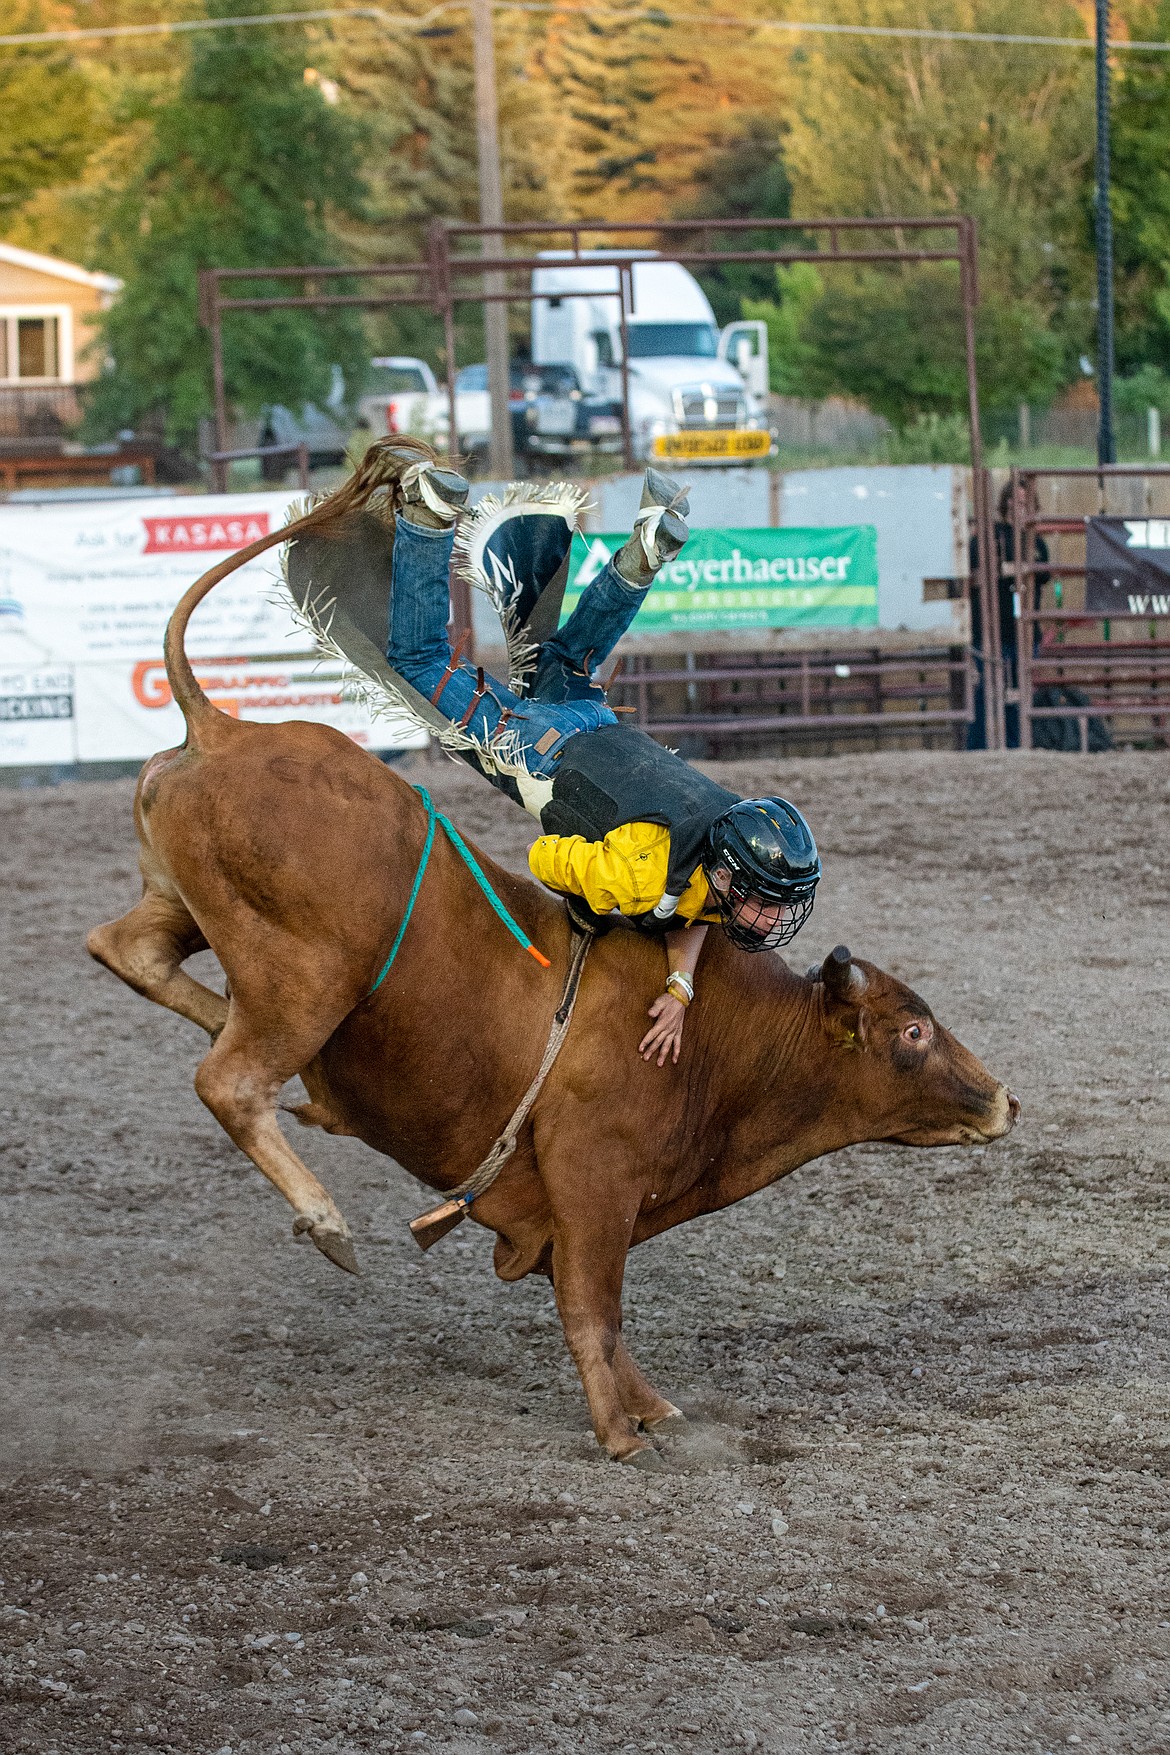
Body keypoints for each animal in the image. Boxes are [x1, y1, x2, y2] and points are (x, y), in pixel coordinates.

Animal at [86, 473, 1017, 1460]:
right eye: (913, 1029)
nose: (1006, 1099)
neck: (726, 1051)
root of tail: (219, 728)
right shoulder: (593, 1180)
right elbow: (593, 1310)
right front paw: (620, 1434)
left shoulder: (564, 1212)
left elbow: (587, 1302)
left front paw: (654, 1407)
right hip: (308, 976)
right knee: (229, 1078)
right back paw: (325, 1215)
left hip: (189, 904)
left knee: (128, 951)